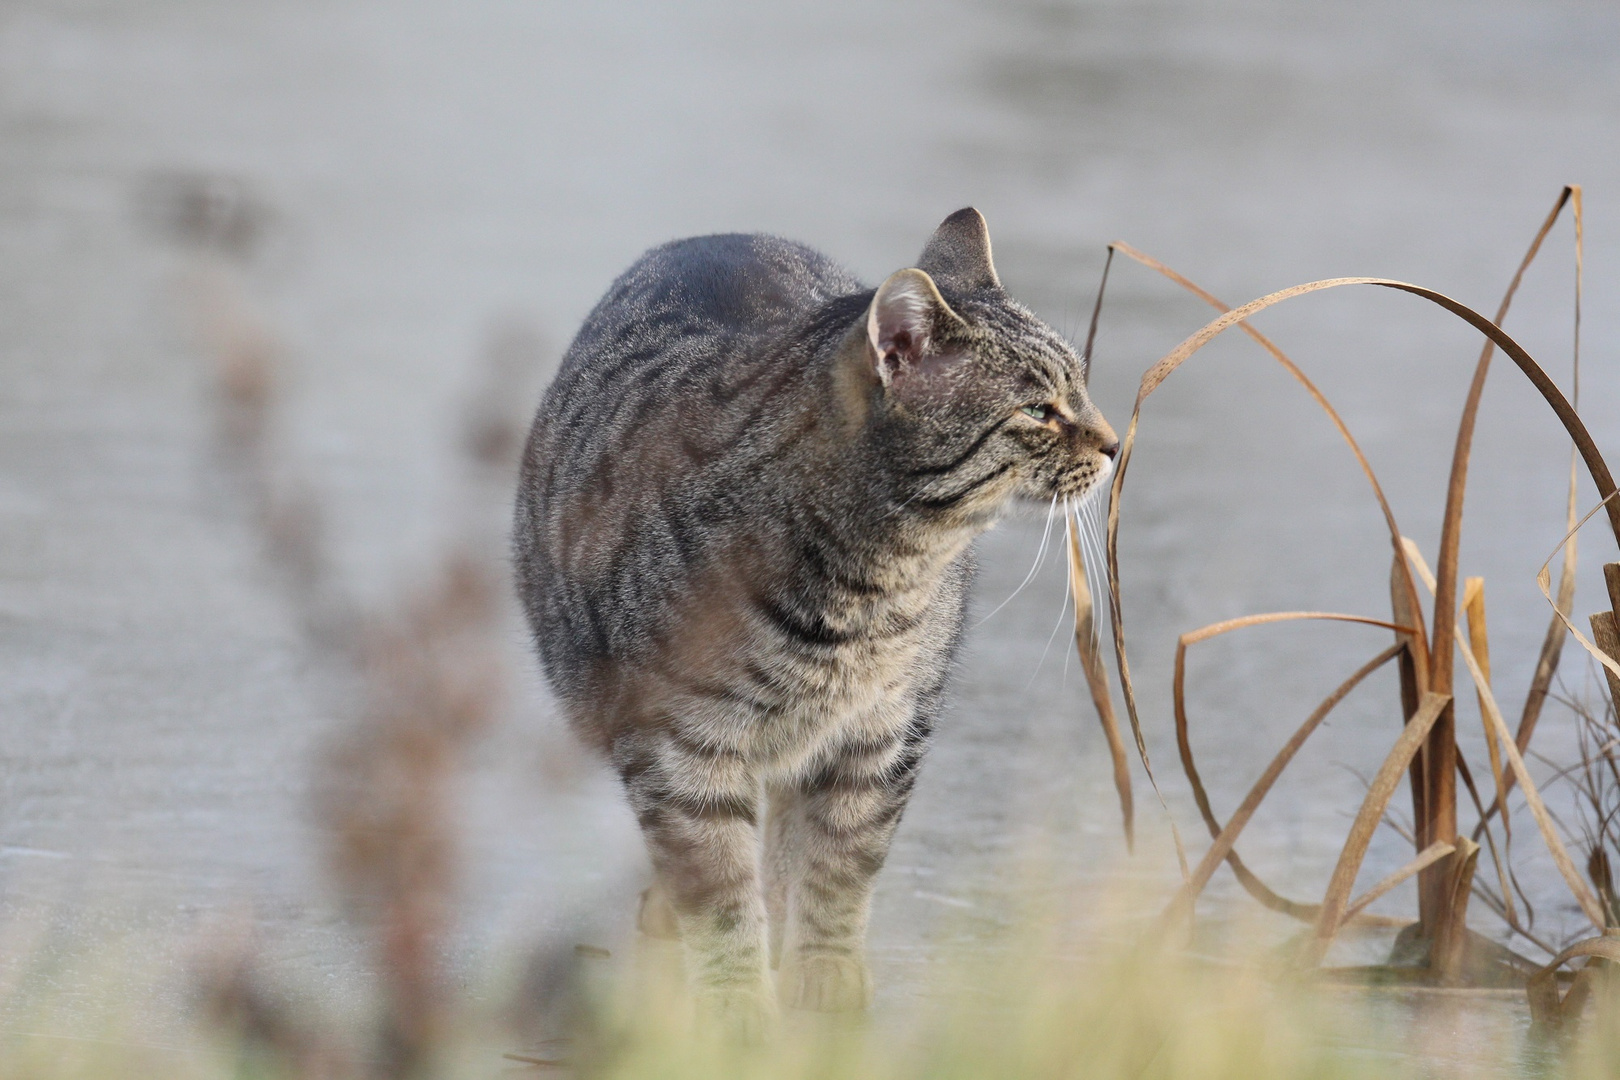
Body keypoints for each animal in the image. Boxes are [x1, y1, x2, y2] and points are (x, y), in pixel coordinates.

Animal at [515, 208, 1114, 1029]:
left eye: (1081, 389)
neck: (867, 588)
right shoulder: (677, 748)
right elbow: (717, 888)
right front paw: (736, 1001)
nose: (1115, 443)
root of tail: (718, 234)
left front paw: (824, 971)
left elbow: (841, 866)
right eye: (1037, 411)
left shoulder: (883, 735)